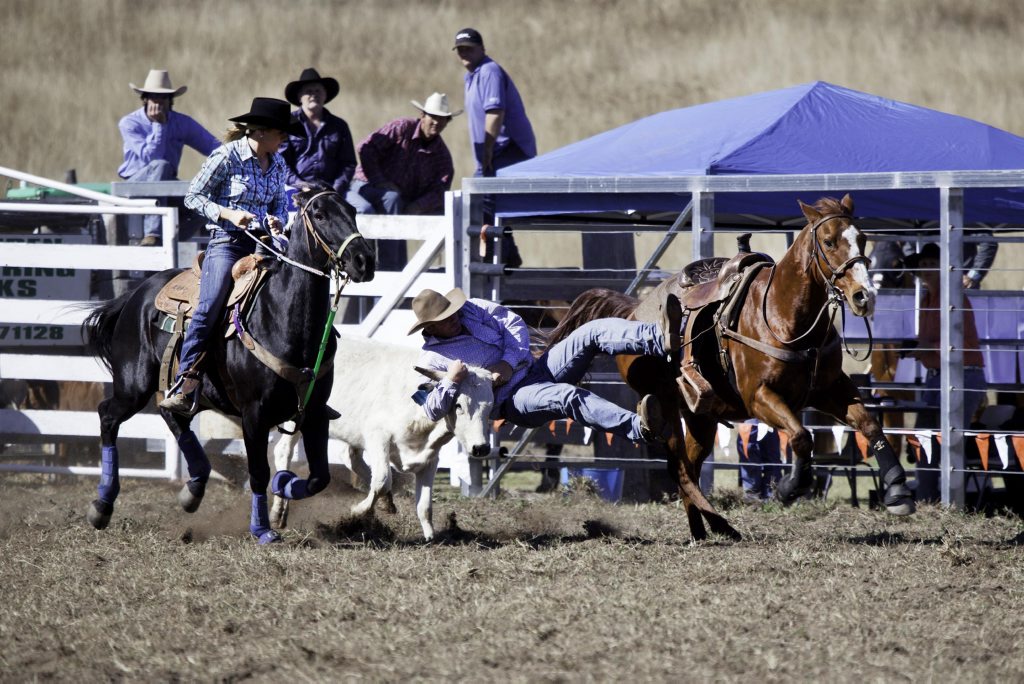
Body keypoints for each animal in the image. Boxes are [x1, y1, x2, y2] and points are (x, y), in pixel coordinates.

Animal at [80, 184, 376, 540]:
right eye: (319, 214)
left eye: (352, 211)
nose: (364, 261)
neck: (281, 317)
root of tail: (136, 294)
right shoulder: (254, 415)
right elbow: (259, 471)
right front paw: (262, 529)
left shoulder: (316, 412)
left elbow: (319, 477)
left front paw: (284, 484)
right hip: (132, 385)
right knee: (108, 416)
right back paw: (101, 506)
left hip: (185, 391)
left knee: (172, 414)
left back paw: (193, 489)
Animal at [548, 196, 917, 540]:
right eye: (828, 241)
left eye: (862, 238)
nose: (864, 296)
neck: (784, 315)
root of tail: (633, 310)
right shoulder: (759, 397)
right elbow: (801, 436)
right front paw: (789, 488)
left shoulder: (830, 389)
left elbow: (869, 424)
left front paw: (899, 492)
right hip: (665, 403)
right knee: (677, 465)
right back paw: (718, 524)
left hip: (701, 417)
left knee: (690, 465)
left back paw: (705, 527)